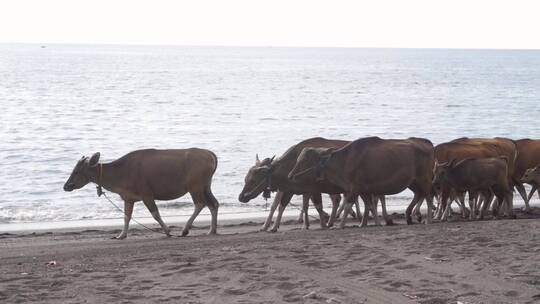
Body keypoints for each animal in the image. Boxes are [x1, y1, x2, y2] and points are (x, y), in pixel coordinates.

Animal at [286, 137, 434, 228]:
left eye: (304, 161)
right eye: (298, 160)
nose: (290, 175)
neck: (345, 160)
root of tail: (426, 145)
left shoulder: (354, 189)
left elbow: (348, 206)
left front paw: (341, 225)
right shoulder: (363, 190)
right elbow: (369, 206)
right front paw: (367, 223)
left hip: (424, 179)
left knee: (428, 196)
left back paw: (428, 219)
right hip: (413, 182)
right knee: (419, 194)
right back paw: (411, 216)